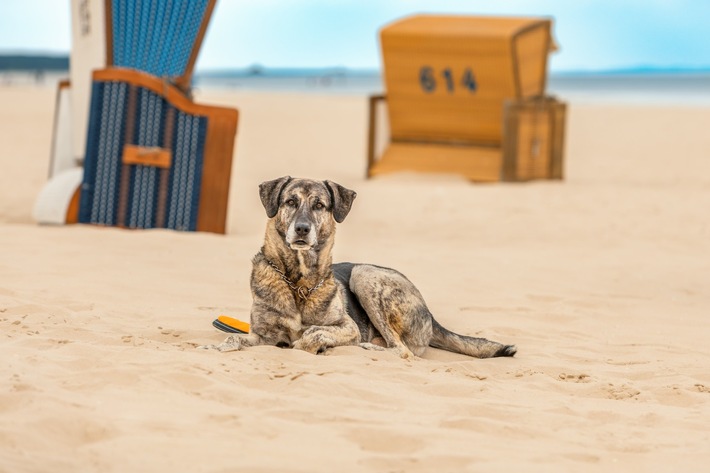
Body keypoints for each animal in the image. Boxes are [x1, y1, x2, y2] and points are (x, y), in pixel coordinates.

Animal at [211, 176, 516, 358]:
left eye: (319, 205)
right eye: (290, 202)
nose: (302, 229)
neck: (299, 283)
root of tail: (429, 312)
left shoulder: (348, 326)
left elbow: (315, 333)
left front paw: (314, 342)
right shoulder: (261, 335)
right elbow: (235, 341)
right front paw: (217, 345)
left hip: (364, 274)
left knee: (401, 350)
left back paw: (368, 347)